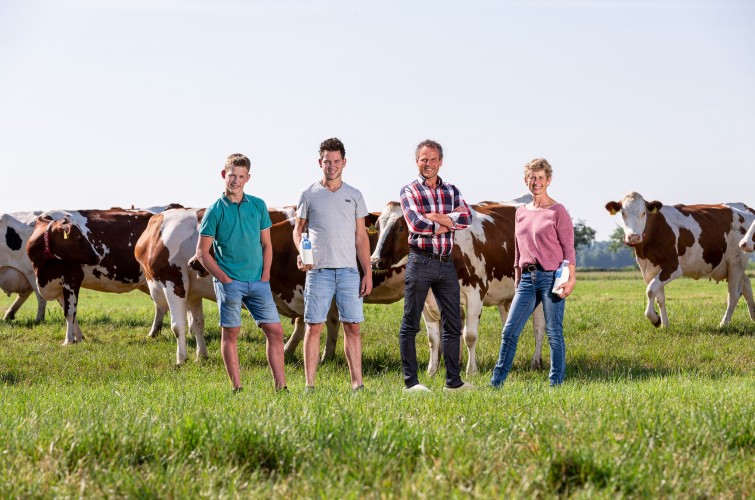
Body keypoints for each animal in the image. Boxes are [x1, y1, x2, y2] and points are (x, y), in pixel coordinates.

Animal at [25, 207, 177, 344]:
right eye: (76, 235)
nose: (97, 256)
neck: (42, 269)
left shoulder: (72, 278)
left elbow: (69, 312)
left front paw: (68, 341)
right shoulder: (57, 286)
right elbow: (69, 313)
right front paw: (79, 338)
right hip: (149, 282)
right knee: (160, 305)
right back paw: (153, 333)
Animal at [370, 199, 544, 376]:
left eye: (400, 228)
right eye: (377, 228)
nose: (375, 261)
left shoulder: (475, 294)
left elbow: (470, 335)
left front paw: (471, 371)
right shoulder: (427, 299)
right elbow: (433, 338)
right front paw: (431, 371)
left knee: (538, 326)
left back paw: (536, 362)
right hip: (505, 296)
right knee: (507, 326)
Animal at [604, 192, 755, 328]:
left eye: (644, 213)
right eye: (623, 213)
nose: (634, 237)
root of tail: (744, 206)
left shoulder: (672, 267)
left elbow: (650, 290)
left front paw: (654, 318)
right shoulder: (650, 270)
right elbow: (659, 297)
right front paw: (664, 324)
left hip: (736, 263)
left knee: (734, 294)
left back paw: (724, 323)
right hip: (734, 266)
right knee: (746, 287)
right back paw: (753, 317)